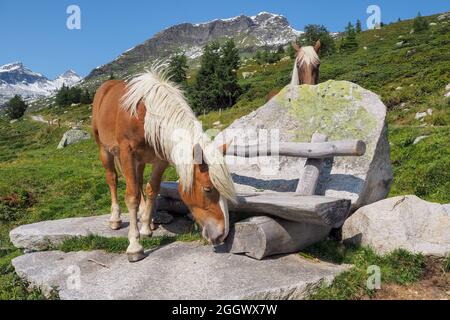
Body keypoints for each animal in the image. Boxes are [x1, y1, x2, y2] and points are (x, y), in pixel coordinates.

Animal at [93, 62, 237, 262]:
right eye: (208, 189)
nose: (222, 234)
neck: (146, 116)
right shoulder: (127, 153)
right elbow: (131, 196)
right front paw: (135, 245)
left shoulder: (160, 160)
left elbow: (151, 189)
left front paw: (146, 227)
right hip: (104, 150)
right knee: (112, 179)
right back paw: (115, 219)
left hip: (140, 161)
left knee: (138, 181)